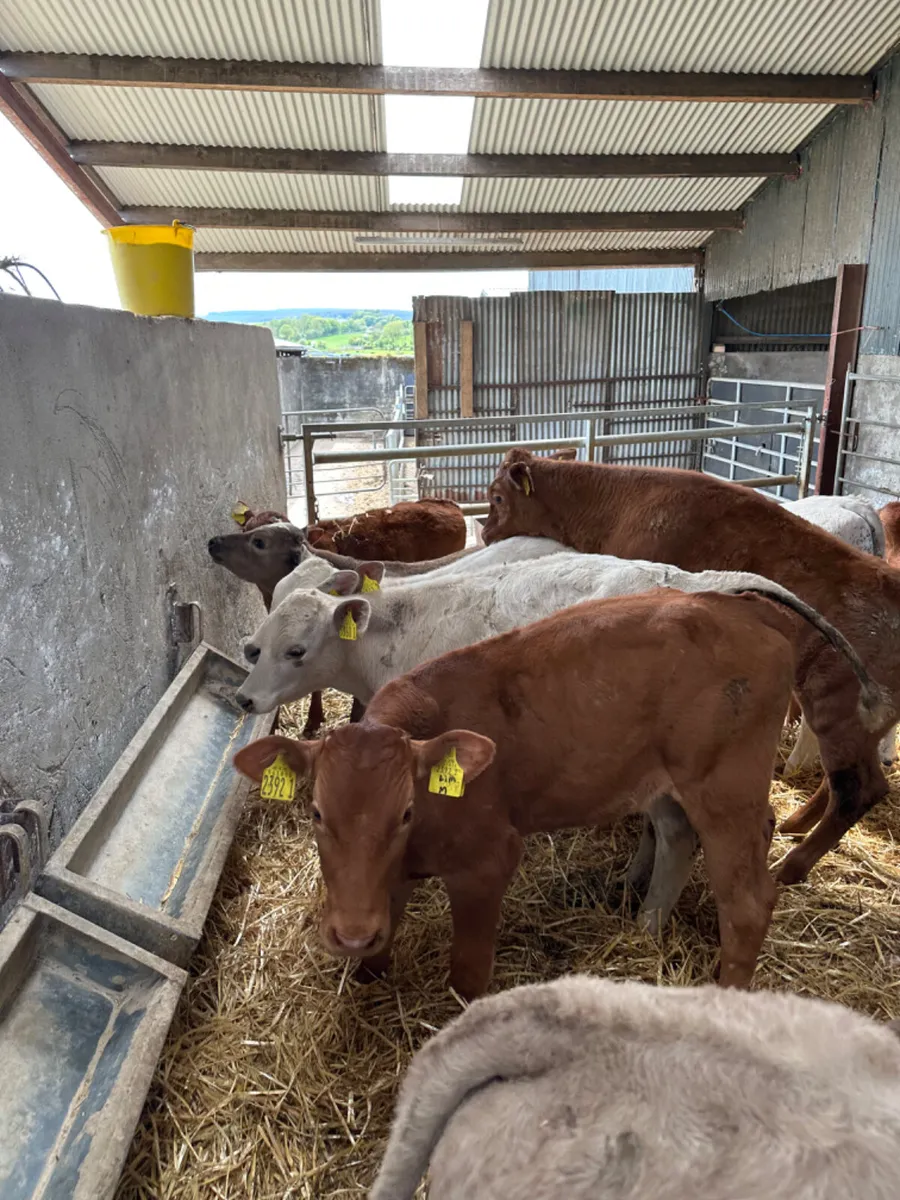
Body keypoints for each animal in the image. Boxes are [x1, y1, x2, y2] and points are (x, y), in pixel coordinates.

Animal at [233, 588, 876, 998]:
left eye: (408, 812)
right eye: (317, 812)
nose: (347, 934)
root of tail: (739, 605)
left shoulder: (490, 860)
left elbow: (468, 972)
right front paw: (366, 973)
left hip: (726, 789)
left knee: (746, 900)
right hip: (663, 779)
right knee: (675, 838)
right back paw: (645, 930)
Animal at [480, 449, 899, 883]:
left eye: (496, 497)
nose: (486, 534)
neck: (617, 502)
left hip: (837, 711)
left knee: (857, 790)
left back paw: (791, 865)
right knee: (847, 783)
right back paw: (794, 824)